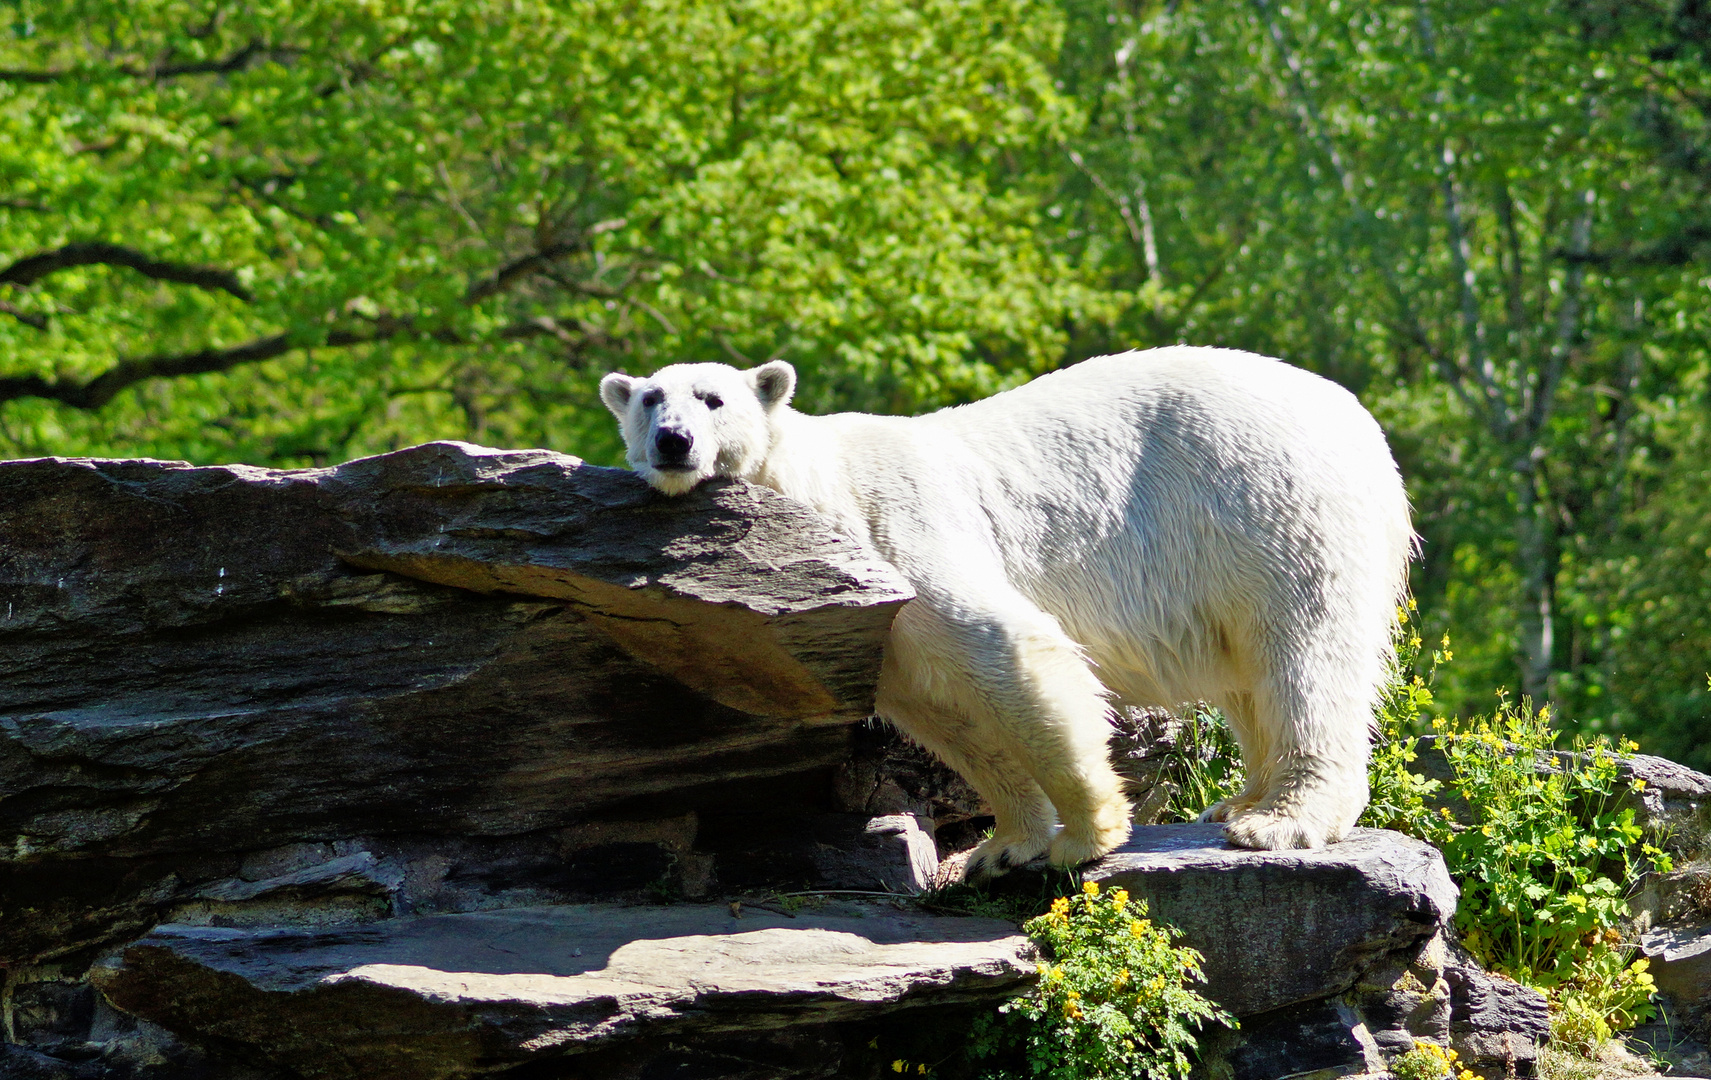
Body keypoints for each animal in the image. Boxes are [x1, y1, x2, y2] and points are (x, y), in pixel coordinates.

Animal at [602, 350, 1416, 883]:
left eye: (711, 399)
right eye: (649, 399)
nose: (673, 440)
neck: (829, 489)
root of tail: (1362, 425)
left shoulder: (903, 532)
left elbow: (1011, 649)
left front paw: (1088, 835)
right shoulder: (881, 632)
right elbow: (951, 720)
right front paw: (1000, 846)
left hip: (1267, 506)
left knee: (1301, 654)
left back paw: (1279, 819)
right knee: (1252, 678)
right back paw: (1236, 803)